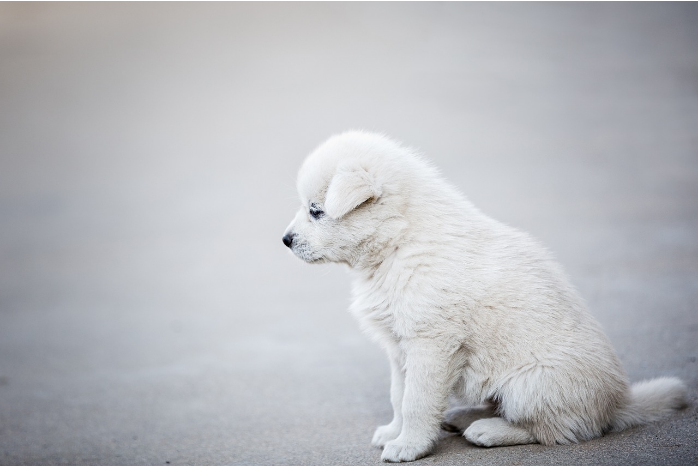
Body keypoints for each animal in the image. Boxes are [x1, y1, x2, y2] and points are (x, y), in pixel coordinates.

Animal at [280, 131, 684, 462]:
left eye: (316, 211)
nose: (285, 240)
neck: (399, 241)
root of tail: (617, 405)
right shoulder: (399, 346)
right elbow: (398, 394)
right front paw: (394, 432)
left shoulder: (431, 343)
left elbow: (416, 401)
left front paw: (408, 446)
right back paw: (463, 417)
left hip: (531, 384)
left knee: (557, 430)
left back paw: (489, 431)